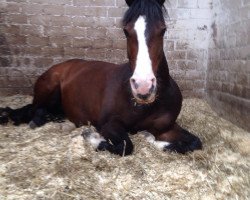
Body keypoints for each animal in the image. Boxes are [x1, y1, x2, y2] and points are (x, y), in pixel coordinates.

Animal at [0, 0, 202, 156]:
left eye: (163, 30)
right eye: (126, 31)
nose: (143, 87)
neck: (144, 106)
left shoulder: (166, 128)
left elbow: (195, 142)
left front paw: (149, 138)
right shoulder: (109, 124)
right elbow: (125, 146)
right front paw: (92, 137)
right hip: (48, 91)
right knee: (33, 110)